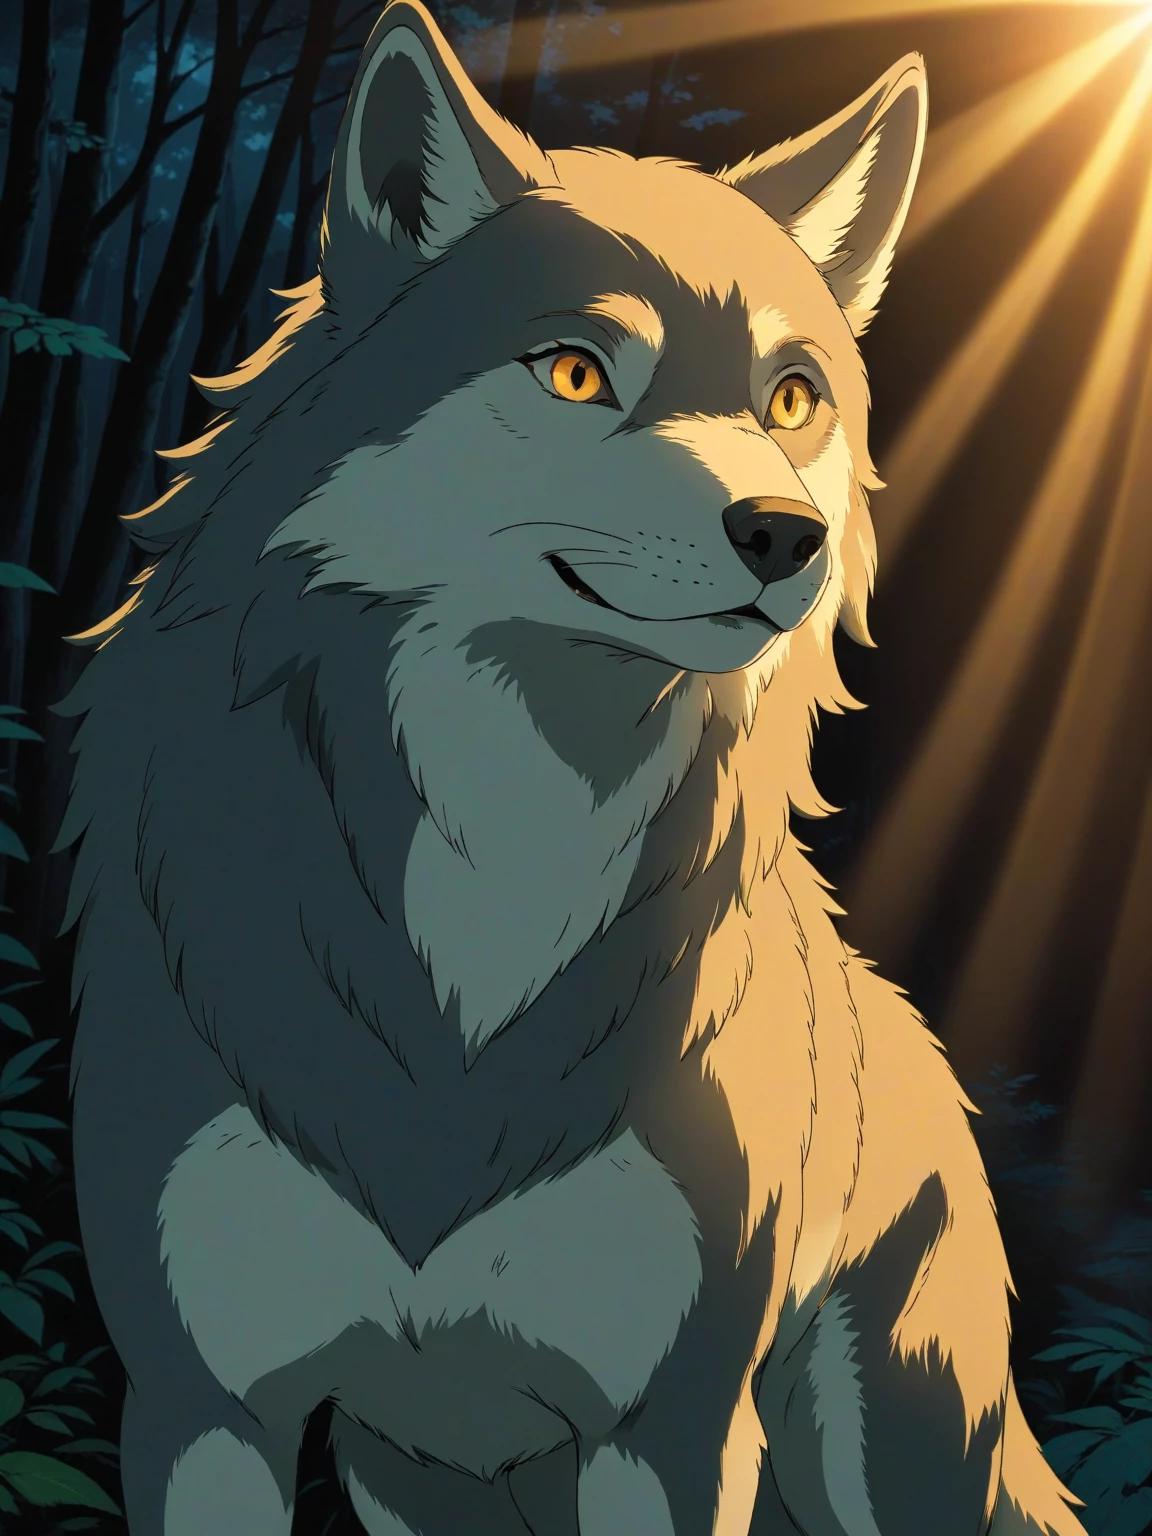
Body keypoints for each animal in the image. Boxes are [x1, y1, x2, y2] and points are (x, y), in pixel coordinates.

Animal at [59, 3, 1087, 1533]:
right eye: (576, 373)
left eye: (793, 397)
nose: (785, 535)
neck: (505, 858)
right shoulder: (202, 1414)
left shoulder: (672, 1434)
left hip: (893, 1464)